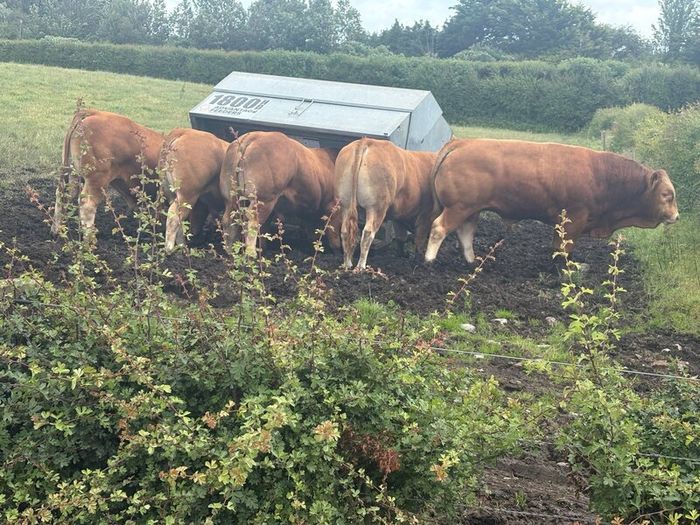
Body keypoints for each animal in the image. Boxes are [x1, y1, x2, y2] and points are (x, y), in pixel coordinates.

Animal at [52, 108, 164, 239]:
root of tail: (94, 112)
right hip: (98, 178)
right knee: (87, 205)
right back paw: (90, 240)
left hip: (74, 173)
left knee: (63, 194)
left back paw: (56, 230)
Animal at [336, 138, 437, 270]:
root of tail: (366, 141)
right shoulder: (424, 216)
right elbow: (418, 240)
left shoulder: (399, 216)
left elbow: (401, 237)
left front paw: (402, 254)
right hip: (376, 208)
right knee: (368, 233)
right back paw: (361, 266)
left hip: (346, 204)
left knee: (345, 231)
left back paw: (347, 264)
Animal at [424, 139, 680, 264]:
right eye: (667, 195)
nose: (677, 216)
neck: (602, 175)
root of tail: (463, 143)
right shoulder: (574, 220)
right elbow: (564, 249)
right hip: (458, 207)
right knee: (438, 228)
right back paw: (429, 260)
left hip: (470, 208)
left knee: (465, 233)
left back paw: (471, 261)